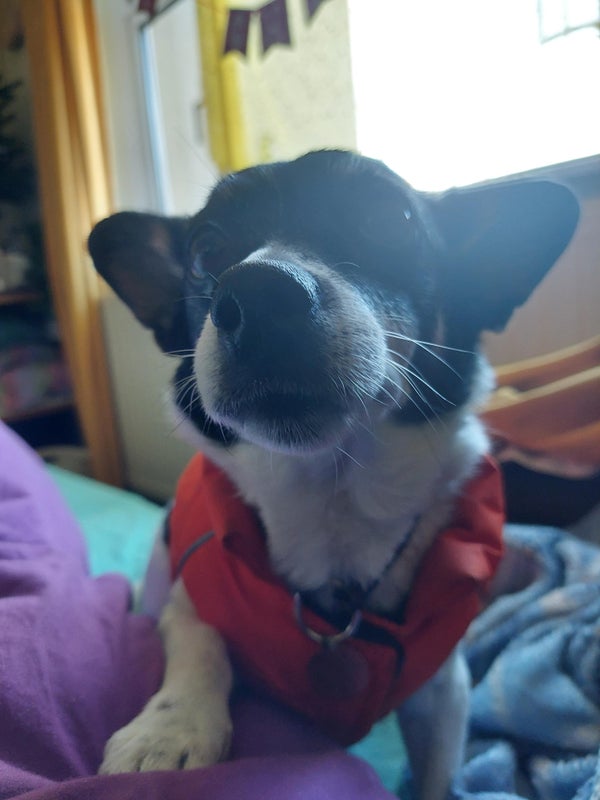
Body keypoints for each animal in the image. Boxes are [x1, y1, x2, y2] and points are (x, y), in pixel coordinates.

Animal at [88, 150, 578, 799]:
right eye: (205, 251)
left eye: (391, 221)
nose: (258, 292)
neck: (330, 494)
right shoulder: (191, 590)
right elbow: (199, 635)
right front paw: (170, 728)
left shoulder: (441, 694)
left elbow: (437, 775)